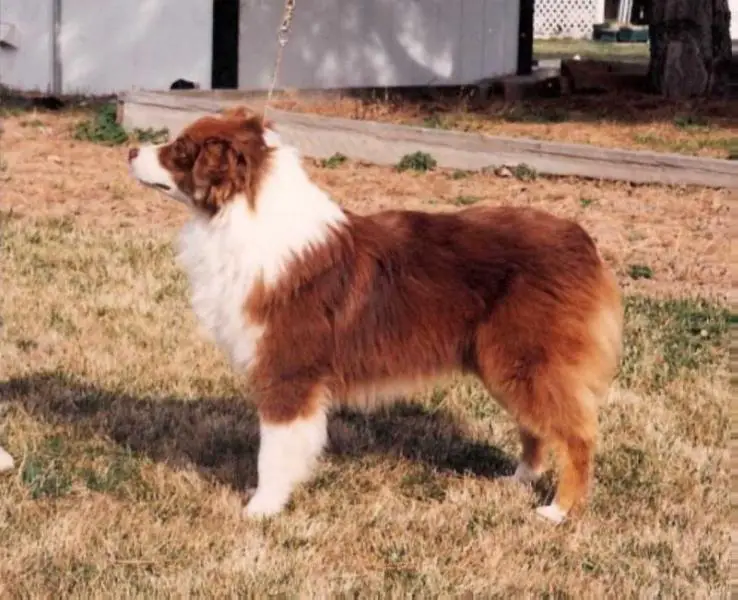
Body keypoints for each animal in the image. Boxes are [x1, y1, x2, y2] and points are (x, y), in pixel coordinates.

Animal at [128, 108, 620, 524]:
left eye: (180, 149)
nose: (131, 151)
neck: (241, 213)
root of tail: (581, 238)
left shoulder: (288, 369)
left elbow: (273, 449)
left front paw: (262, 509)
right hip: (506, 363)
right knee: (536, 426)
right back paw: (517, 480)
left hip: (524, 359)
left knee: (577, 433)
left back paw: (559, 510)